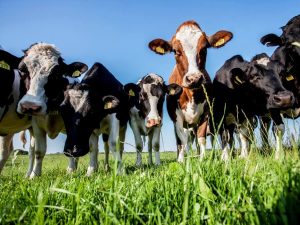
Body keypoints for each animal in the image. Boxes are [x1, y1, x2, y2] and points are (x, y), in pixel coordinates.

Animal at [15, 43, 88, 178]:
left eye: (56, 74)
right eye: (22, 69)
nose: (29, 106)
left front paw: (71, 171)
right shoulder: (36, 126)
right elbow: (39, 151)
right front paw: (34, 175)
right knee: (31, 151)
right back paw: (27, 174)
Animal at [149, 20, 233, 162]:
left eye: (204, 49)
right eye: (176, 51)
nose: (194, 78)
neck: (191, 95)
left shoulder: (206, 114)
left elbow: (201, 138)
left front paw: (202, 159)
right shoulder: (176, 117)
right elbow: (181, 141)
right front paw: (181, 160)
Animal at [258, 14, 300, 158]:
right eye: (286, 42)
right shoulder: (274, 103)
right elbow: (278, 129)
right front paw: (278, 156)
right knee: (264, 128)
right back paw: (266, 149)